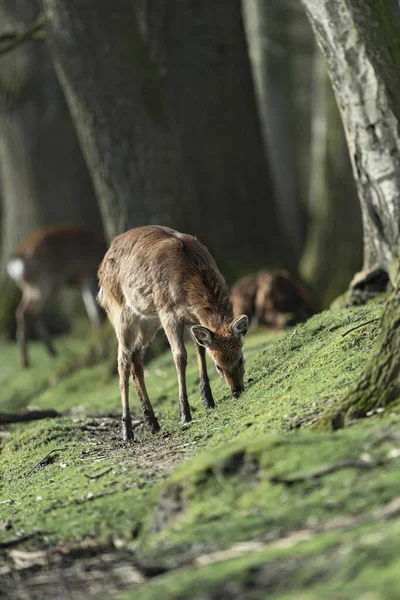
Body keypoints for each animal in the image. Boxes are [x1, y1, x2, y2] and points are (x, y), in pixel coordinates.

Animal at [7, 224, 107, 366]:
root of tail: (16, 259)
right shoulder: (88, 275)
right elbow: (96, 313)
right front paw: (100, 350)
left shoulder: (84, 279)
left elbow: (92, 313)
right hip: (45, 281)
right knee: (27, 312)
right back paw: (25, 360)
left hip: (32, 286)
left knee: (30, 312)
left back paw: (51, 351)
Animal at [97, 225, 247, 440]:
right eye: (218, 366)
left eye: (241, 359)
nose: (237, 390)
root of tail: (100, 272)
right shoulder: (168, 313)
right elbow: (180, 356)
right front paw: (185, 414)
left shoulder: (192, 319)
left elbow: (200, 350)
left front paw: (208, 401)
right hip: (120, 314)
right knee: (122, 360)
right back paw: (127, 430)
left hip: (148, 321)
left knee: (136, 358)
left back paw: (152, 422)